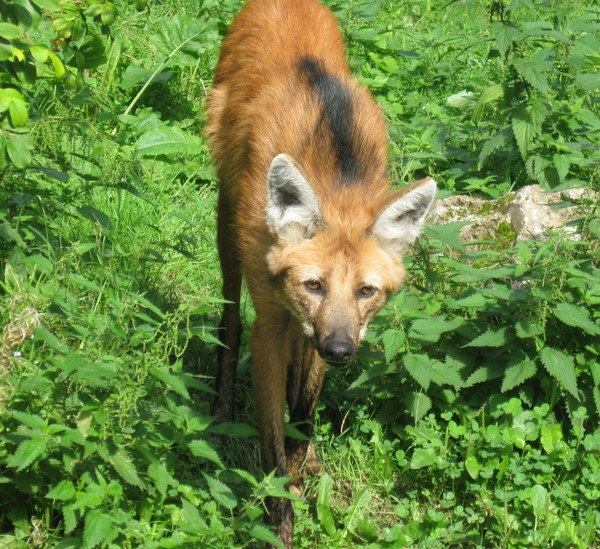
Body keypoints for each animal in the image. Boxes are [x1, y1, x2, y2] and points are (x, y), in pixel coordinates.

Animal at [206, 0, 436, 544]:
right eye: (314, 283)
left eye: (366, 291)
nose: (341, 353)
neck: (337, 168)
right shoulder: (272, 324)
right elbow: (273, 446)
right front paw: (280, 526)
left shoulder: (321, 328)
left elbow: (302, 416)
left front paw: (301, 471)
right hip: (228, 225)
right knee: (229, 316)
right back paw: (222, 414)